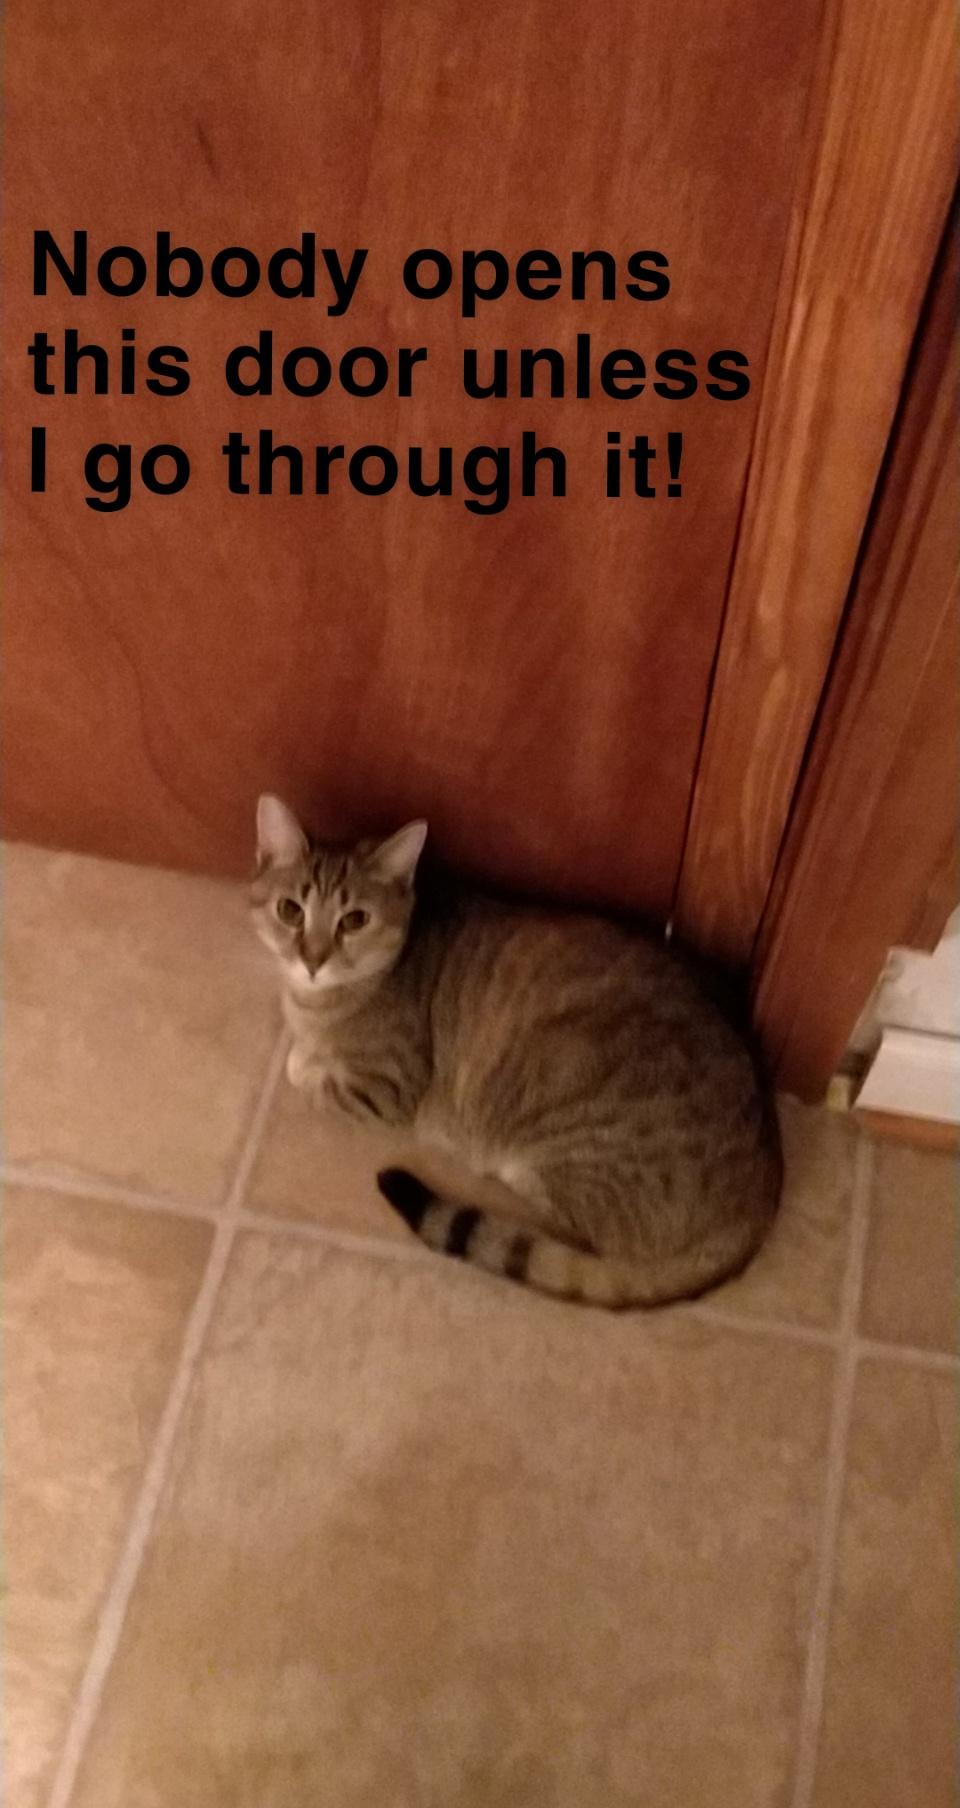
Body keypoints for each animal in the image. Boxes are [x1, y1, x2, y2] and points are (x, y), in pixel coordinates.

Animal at [250, 794, 782, 1309]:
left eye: (355, 919)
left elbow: (314, 1078)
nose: (312, 960)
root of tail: (761, 1200)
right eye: (291, 910)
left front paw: (304, 1060)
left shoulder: (386, 1090)